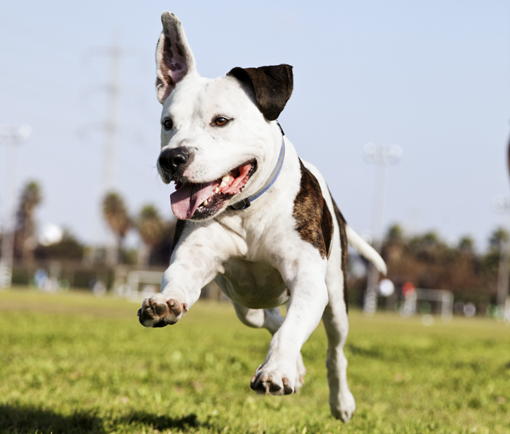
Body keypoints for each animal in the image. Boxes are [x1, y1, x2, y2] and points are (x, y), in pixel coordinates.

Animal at [137, 11, 384, 422]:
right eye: (167, 123)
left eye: (221, 120)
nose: (172, 158)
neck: (247, 210)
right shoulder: (192, 259)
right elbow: (180, 281)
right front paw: (165, 304)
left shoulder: (308, 281)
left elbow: (293, 328)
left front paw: (276, 371)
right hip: (244, 303)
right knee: (267, 318)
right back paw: (297, 368)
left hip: (336, 298)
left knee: (334, 350)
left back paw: (339, 400)